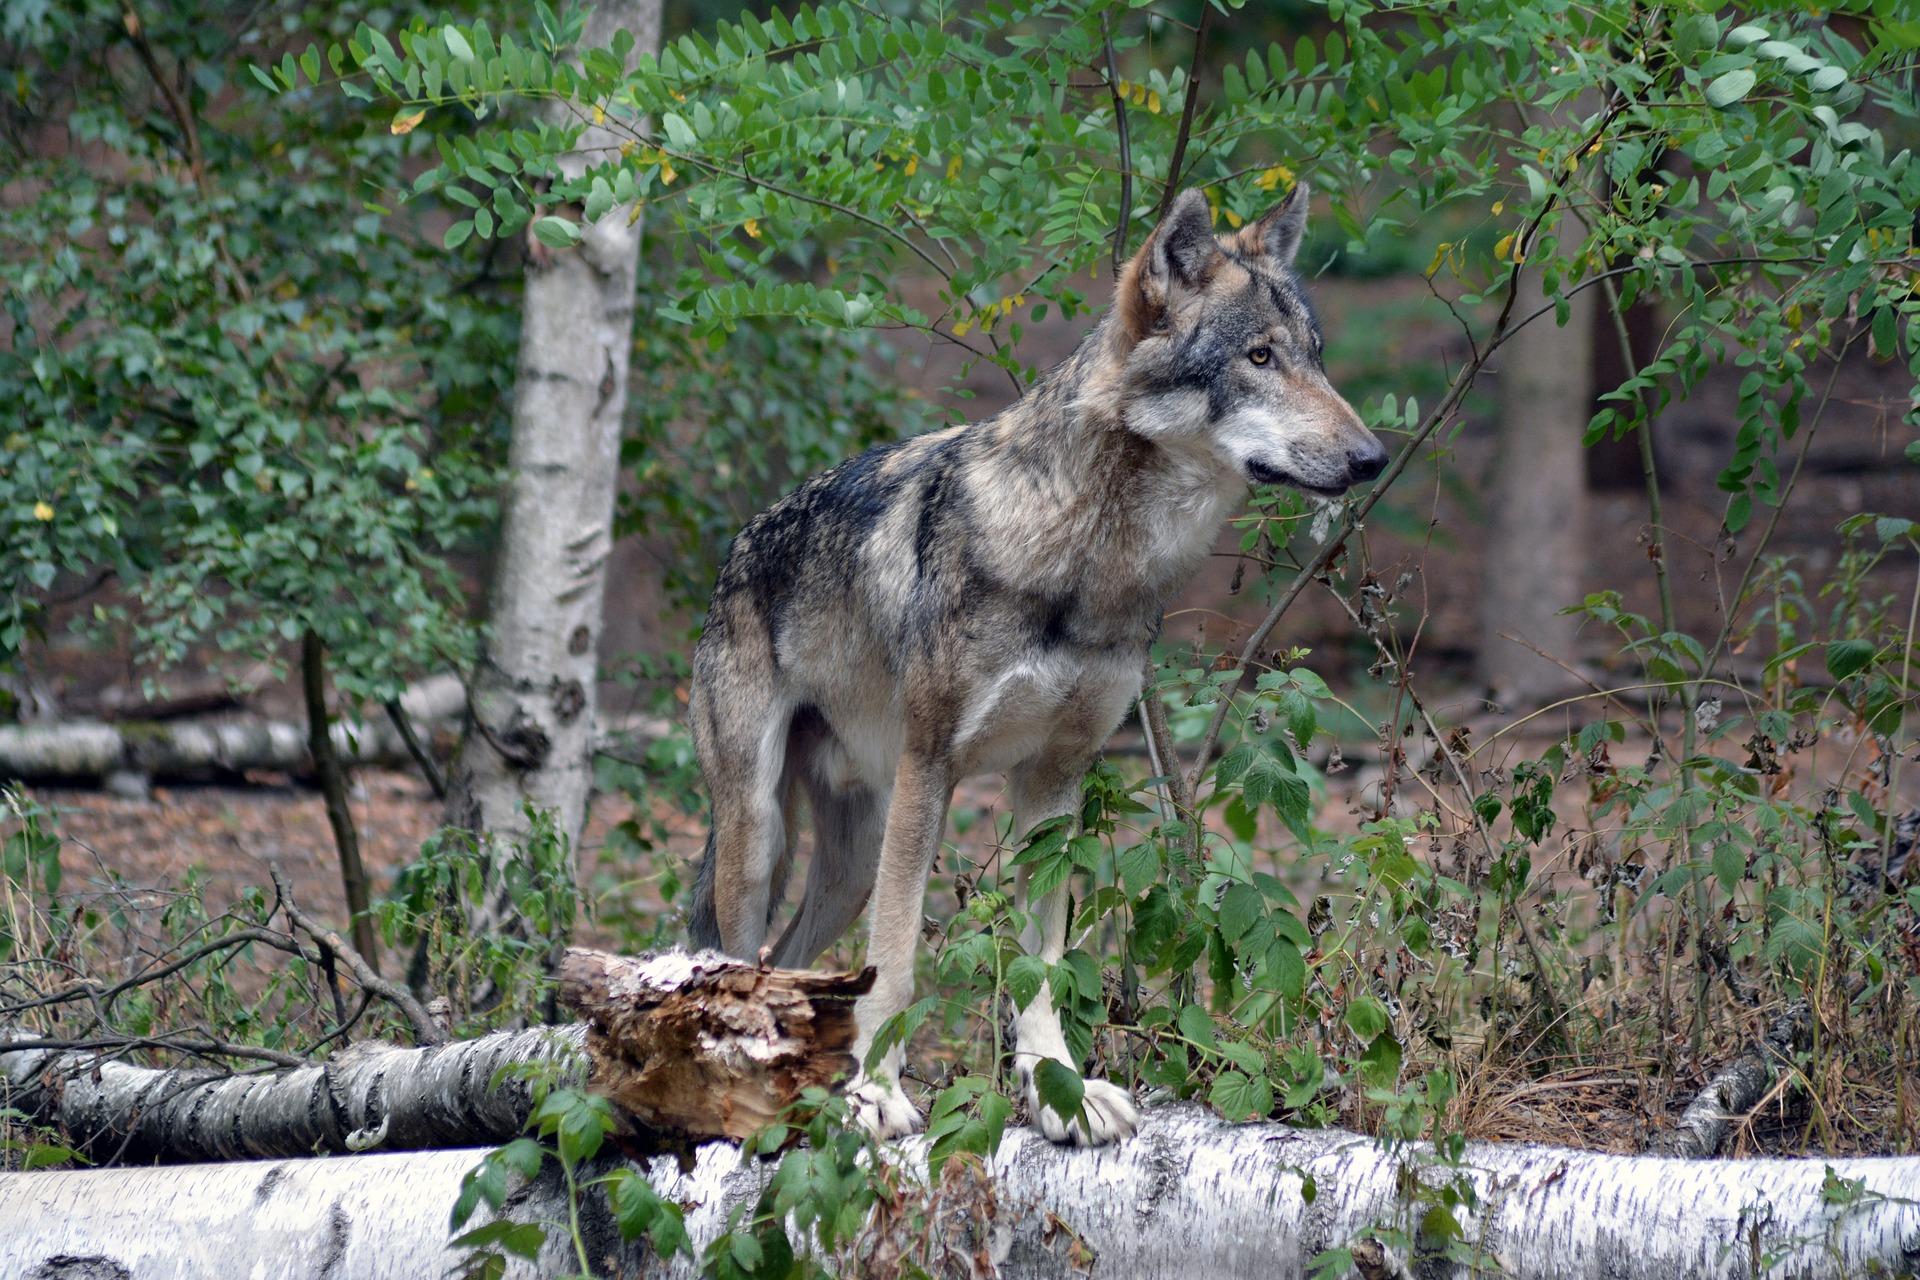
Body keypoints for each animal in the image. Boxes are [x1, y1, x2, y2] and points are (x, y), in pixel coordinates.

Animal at [687, 185, 1382, 1143]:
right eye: (1259, 357)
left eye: (1314, 356)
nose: (1373, 458)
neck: (1092, 560)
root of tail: (739, 544)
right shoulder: (932, 768)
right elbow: (897, 961)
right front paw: (877, 1094)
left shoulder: (1058, 779)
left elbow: (1041, 963)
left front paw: (1062, 1090)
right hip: (762, 839)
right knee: (738, 964)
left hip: (851, 862)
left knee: (793, 968)